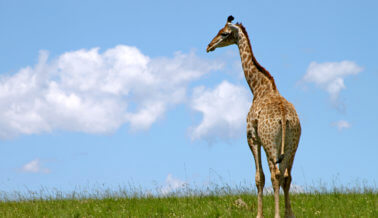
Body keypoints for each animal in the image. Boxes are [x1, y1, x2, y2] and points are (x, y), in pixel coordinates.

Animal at [207, 15, 302, 218]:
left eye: (224, 33)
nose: (209, 46)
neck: (259, 88)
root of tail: (284, 118)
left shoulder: (252, 137)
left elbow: (259, 177)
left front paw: (259, 214)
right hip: (293, 144)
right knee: (287, 176)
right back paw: (289, 214)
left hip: (270, 143)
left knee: (275, 174)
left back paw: (277, 215)